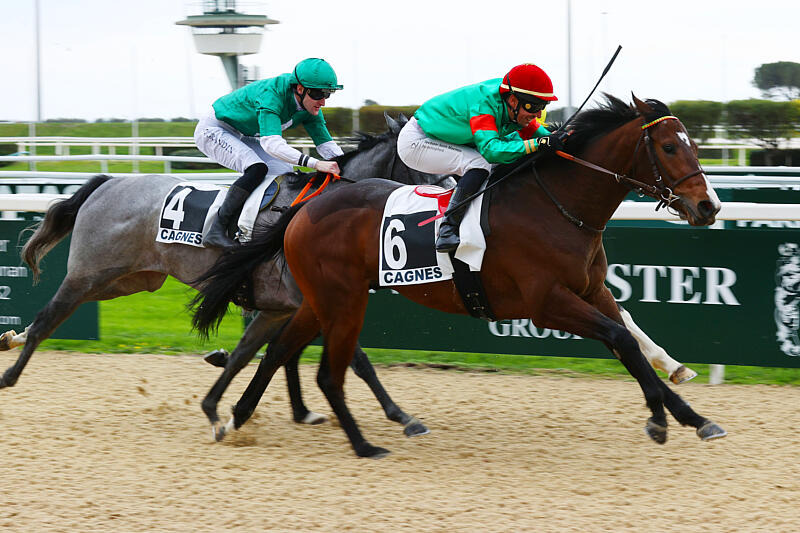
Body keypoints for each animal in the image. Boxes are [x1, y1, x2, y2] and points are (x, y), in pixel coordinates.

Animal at [0, 114, 446, 438]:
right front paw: (401, 416)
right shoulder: (317, 302)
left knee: (54, 315)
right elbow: (354, 360)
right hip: (91, 272)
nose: (448, 204)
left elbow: (270, 353)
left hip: (128, 280)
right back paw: (9, 374)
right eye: (425, 160)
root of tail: (108, 181)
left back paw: (11, 338)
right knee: (50, 316)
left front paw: (290, 410)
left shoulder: (287, 306)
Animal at [191, 94, 728, 458]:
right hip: (341, 299)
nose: (709, 206)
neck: (556, 205)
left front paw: (692, 416)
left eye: (692, 145)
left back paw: (234, 418)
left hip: (317, 299)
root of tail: (305, 208)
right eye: (668, 147)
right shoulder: (547, 302)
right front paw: (659, 418)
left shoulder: (592, 290)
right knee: (317, 362)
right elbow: (620, 338)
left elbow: (631, 341)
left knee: (279, 349)